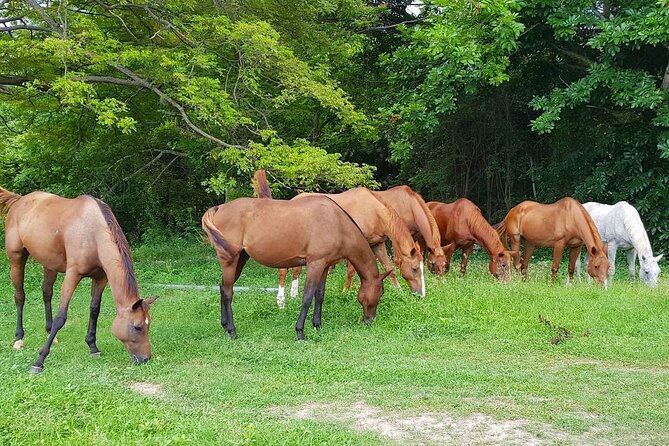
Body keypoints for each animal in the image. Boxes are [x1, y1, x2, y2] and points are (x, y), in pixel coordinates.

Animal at [0, 186, 157, 372]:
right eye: (137, 327)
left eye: (149, 324)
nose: (145, 359)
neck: (93, 233)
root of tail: (19, 200)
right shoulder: (72, 275)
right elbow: (61, 317)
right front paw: (39, 361)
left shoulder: (100, 277)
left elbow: (94, 310)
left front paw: (93, 347)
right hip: (16, 259)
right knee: (20, 297)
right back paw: (19, 338)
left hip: (49, 264)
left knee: (46, 293)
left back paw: (51, 334)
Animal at [201, 196, 388, 342]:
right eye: (380, 293)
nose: (369, 320)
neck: (336, 223)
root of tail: (219, 208)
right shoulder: (315, 264)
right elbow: (307, 297)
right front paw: (300, 332)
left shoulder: (325, 266)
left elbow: (319, 296)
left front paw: (317, 325)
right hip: (230, 261)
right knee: (227, 292)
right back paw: (232, 331)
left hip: (240, 259)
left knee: (223, 288)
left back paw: (225, 327)